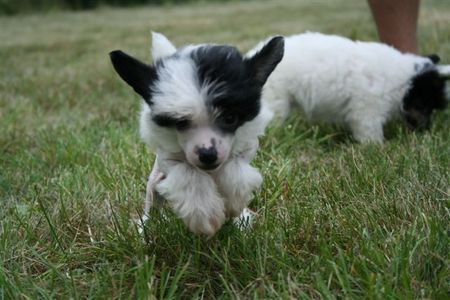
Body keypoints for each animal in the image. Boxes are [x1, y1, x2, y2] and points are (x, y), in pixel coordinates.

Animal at [109, 31, 284, 236]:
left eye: (230, 118)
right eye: (181, 122)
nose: (208, 154)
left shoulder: (247, 148)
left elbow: (234, 168)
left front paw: (232, 203)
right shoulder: (168, 159)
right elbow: (188, 174)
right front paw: (204, 215)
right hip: (154, 183)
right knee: (152, 204)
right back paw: (146, 226)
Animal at [250, 32, 450, 143]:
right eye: (425, 106)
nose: (426, 131)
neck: (403, 80)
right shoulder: (367, 110)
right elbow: (370, 131)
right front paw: (376, 146)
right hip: (276, 100)